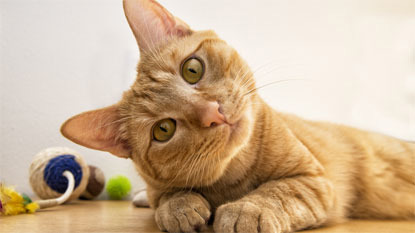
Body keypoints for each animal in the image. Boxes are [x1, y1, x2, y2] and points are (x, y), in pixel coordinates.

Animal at [60, 0, 414, 232]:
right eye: (163, 130)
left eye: (192, 69)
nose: (212, 114)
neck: (235, 177)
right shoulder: (159, 184)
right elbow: (165, 196)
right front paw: (177, 207)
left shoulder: (314, 180)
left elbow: (278, 191)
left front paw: (247, 210)